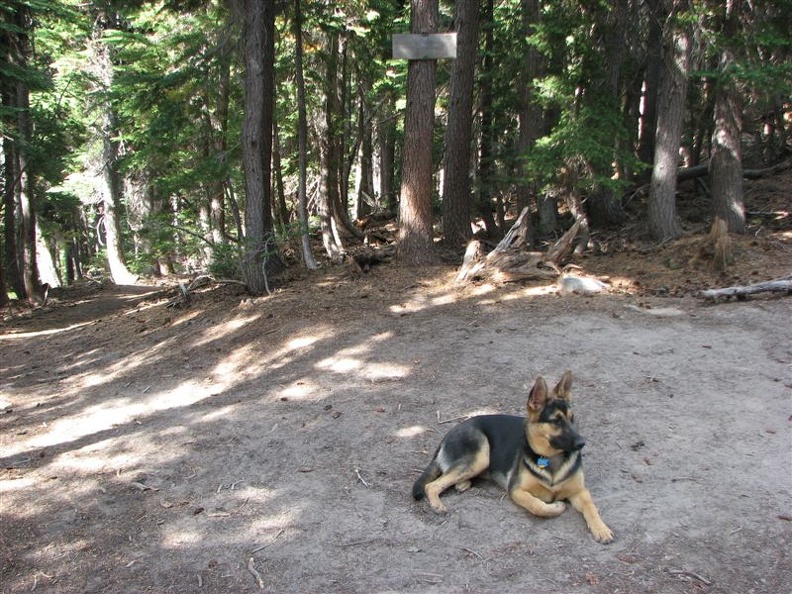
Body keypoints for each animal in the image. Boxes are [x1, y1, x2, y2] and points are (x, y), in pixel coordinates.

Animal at [412, 370, 616, 540]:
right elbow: (537, 506)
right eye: (556, 421)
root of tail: (448, 433)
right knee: (432, 485)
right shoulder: (516, 490)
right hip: (481, 455)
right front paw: (556, 507)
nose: (582, 443)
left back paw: (462, 484)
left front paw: (601, 528)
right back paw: (437, 503)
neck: (551, 460)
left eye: (572, 418)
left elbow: (591, 506)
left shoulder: (580, 491)